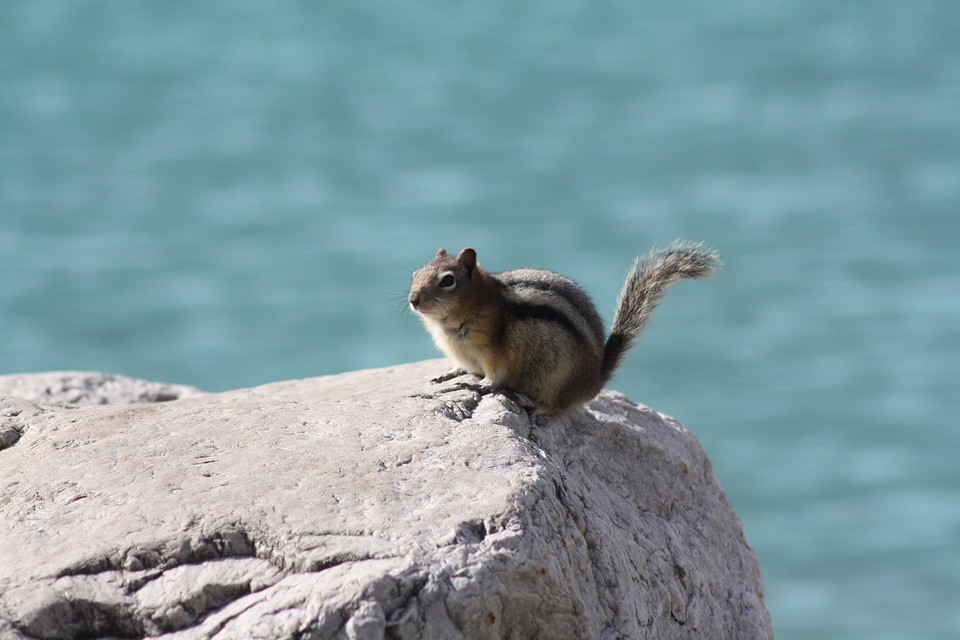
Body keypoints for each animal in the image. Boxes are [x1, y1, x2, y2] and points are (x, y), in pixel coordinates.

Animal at [408, 241, 720, 415]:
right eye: (415, 273)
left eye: (447, 280)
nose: (413, 299)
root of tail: (595, 381)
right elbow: (462, 366)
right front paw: (451, 372)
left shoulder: (493, 348)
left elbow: (495, 378)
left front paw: (477, 384)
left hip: (558, 378)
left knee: (558, 406)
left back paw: (532, 403)